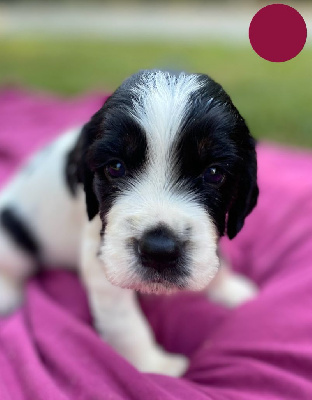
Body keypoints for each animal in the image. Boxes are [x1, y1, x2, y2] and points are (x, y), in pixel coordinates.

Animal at [0, 70, 258, 376]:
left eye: (215, 172)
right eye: (115, 167)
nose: (159, 250)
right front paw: (154, 366)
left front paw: (230, 290)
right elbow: (125, 322)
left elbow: (217, 258)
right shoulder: (101, 253)